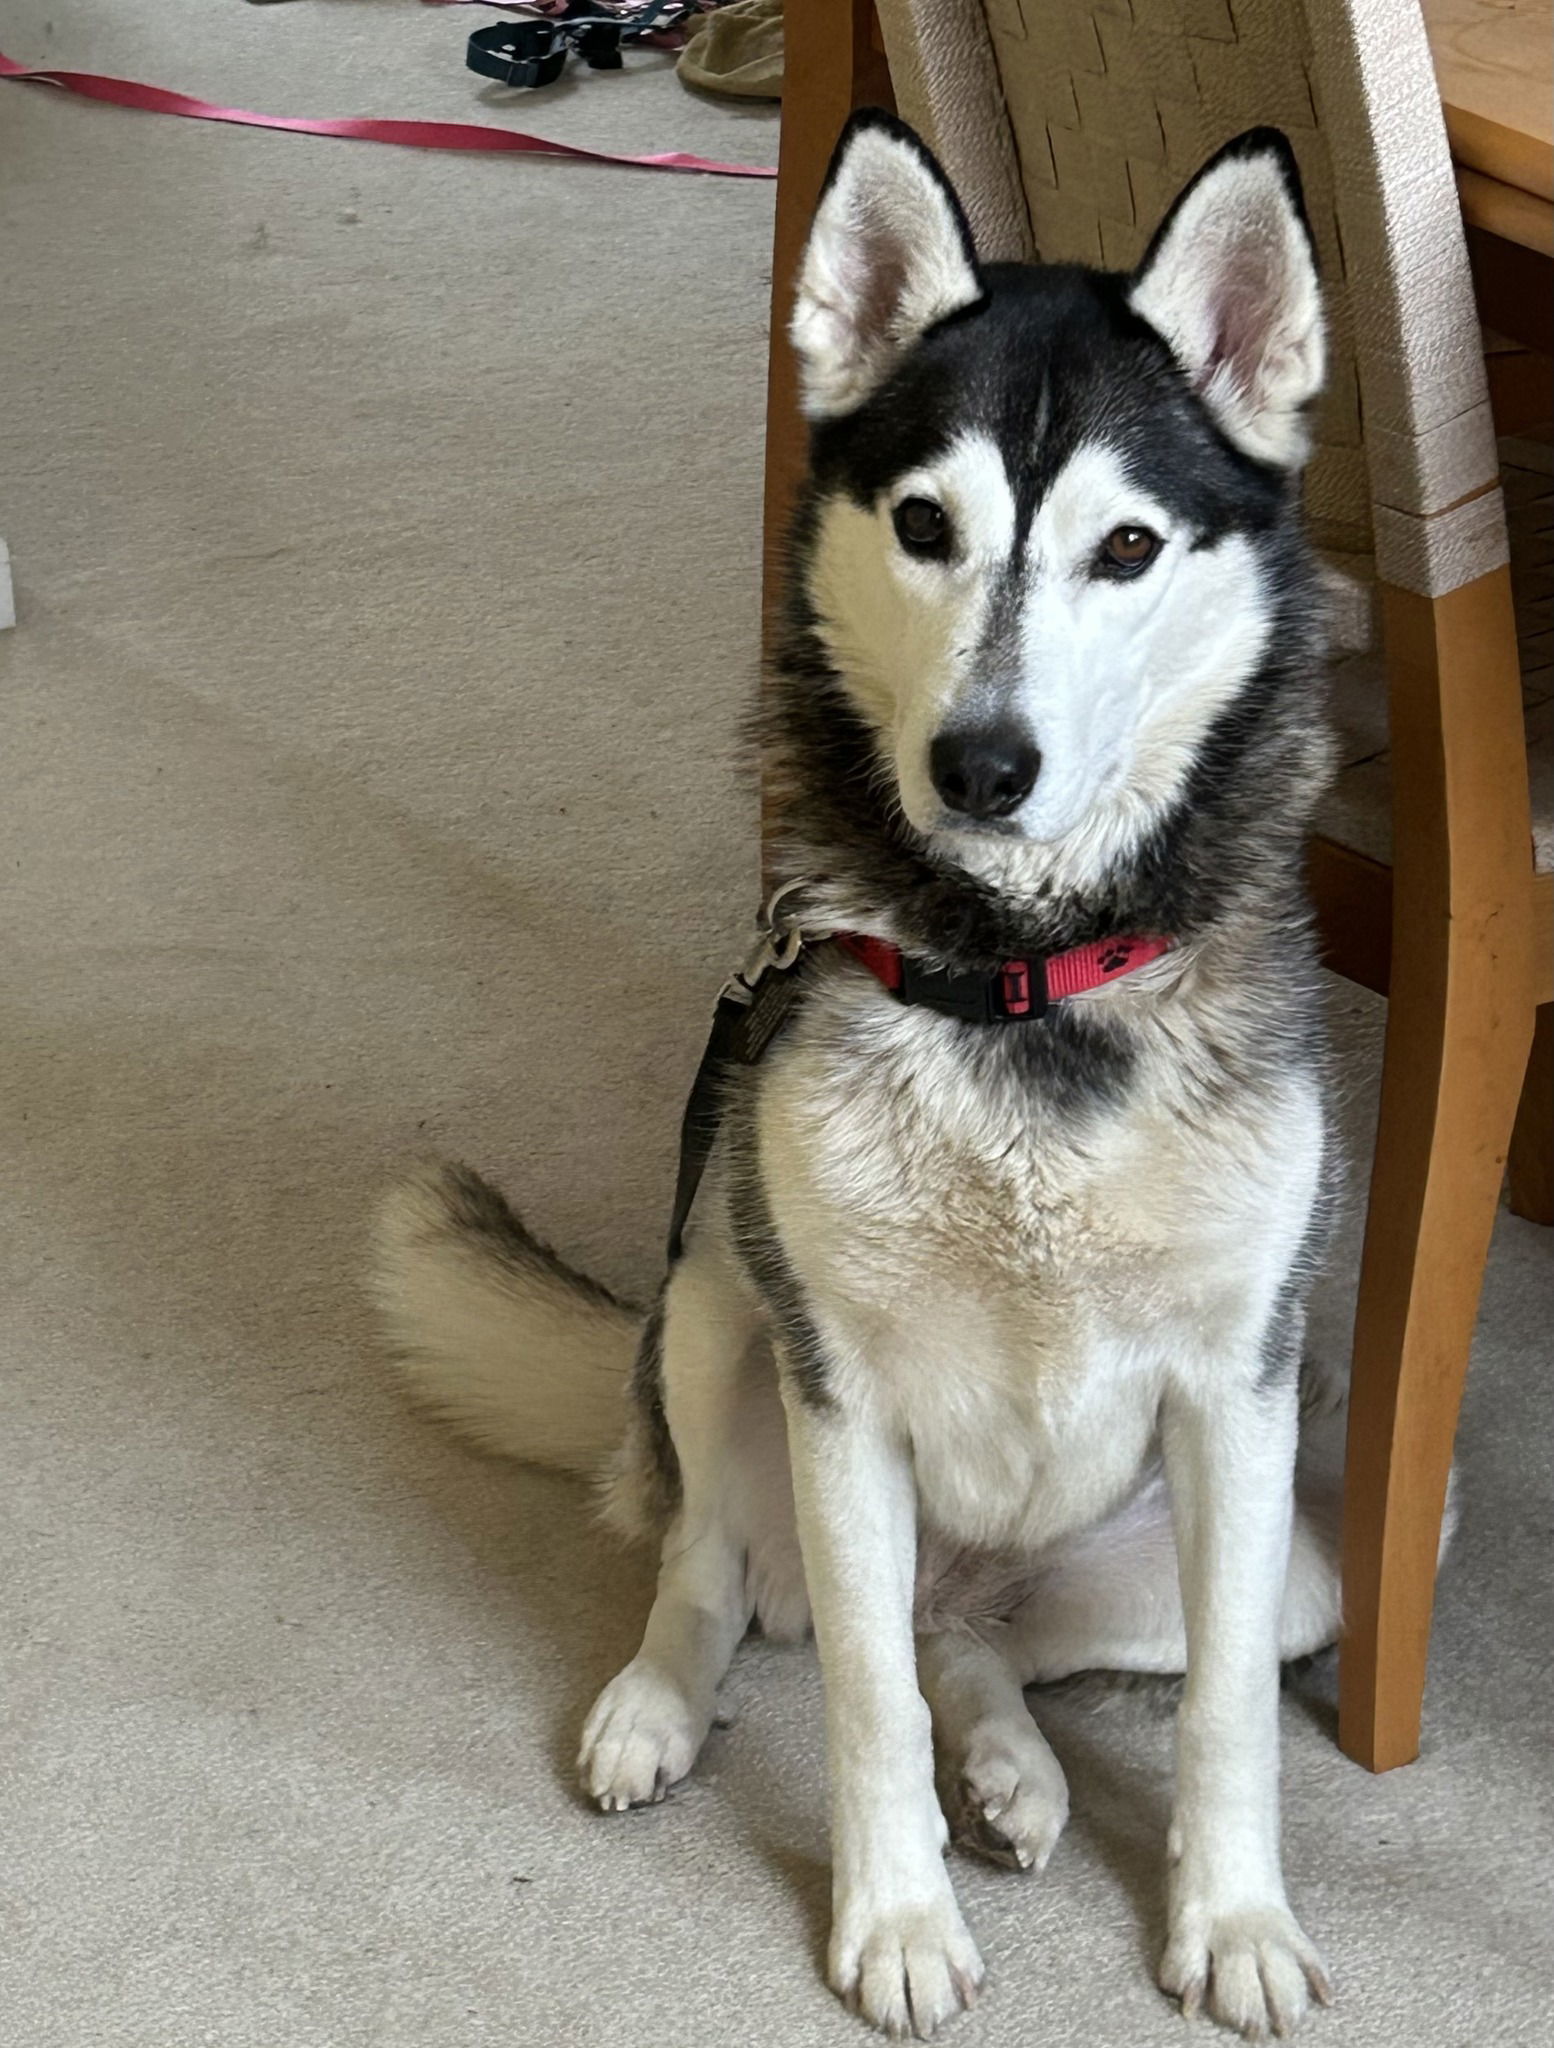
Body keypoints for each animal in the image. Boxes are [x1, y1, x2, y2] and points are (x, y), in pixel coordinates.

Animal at [370, 119, 1359, 2039]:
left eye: (1128, 546)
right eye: (922, 526)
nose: (981, 764)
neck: (1017, 970)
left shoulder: (1235, 1398)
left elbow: (1218, 1714)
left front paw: (1232, 1916)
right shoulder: (838, 1395)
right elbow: (856, 1700)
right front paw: (894, 1914)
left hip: (1275, 1565)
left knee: (964, 1642)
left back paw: (1019, 1766)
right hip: (708, 1306)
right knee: (722, 1570)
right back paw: (659, 1699)